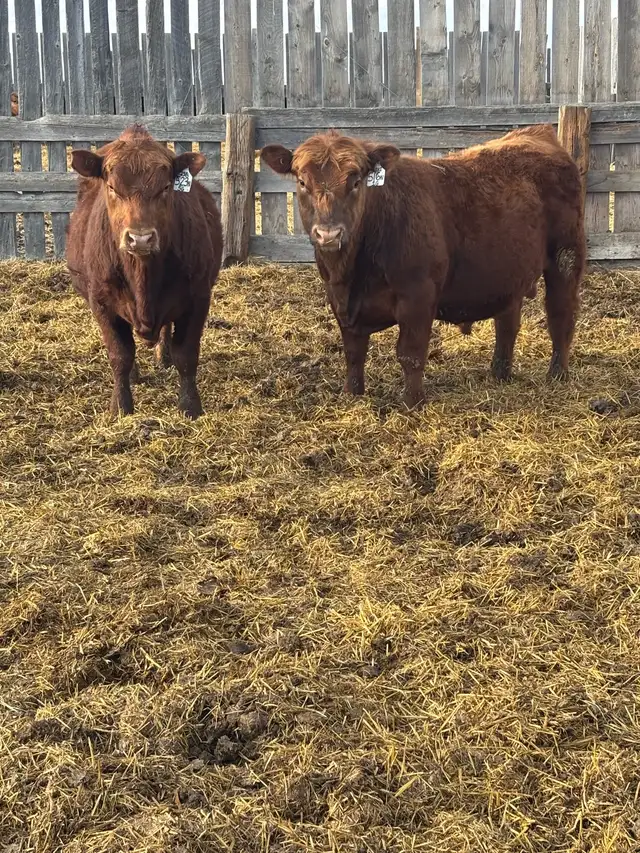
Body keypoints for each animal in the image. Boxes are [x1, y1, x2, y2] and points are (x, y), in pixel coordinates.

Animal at [66, 125, 222, 419]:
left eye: (165, 187)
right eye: (112, 187)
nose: (140, 239)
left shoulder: (198, 297)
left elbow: (187, 355)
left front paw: (190, 405)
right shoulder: (101, 302)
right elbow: (120, 354)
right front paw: (120, 405)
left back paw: (163, 355)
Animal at [261, 125, 585, 408]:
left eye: (355, 182)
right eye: (302, 182)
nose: (328, 234)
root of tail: (537, 133)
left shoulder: (417, 296)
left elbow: (411, 353)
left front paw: (412, 402)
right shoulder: (339, 300)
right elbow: (354, 352)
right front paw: (352, 394)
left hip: (566, 258)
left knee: (561, 316)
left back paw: (557, 374)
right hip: (507, 273)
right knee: (508, 323)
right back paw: (499, 373)